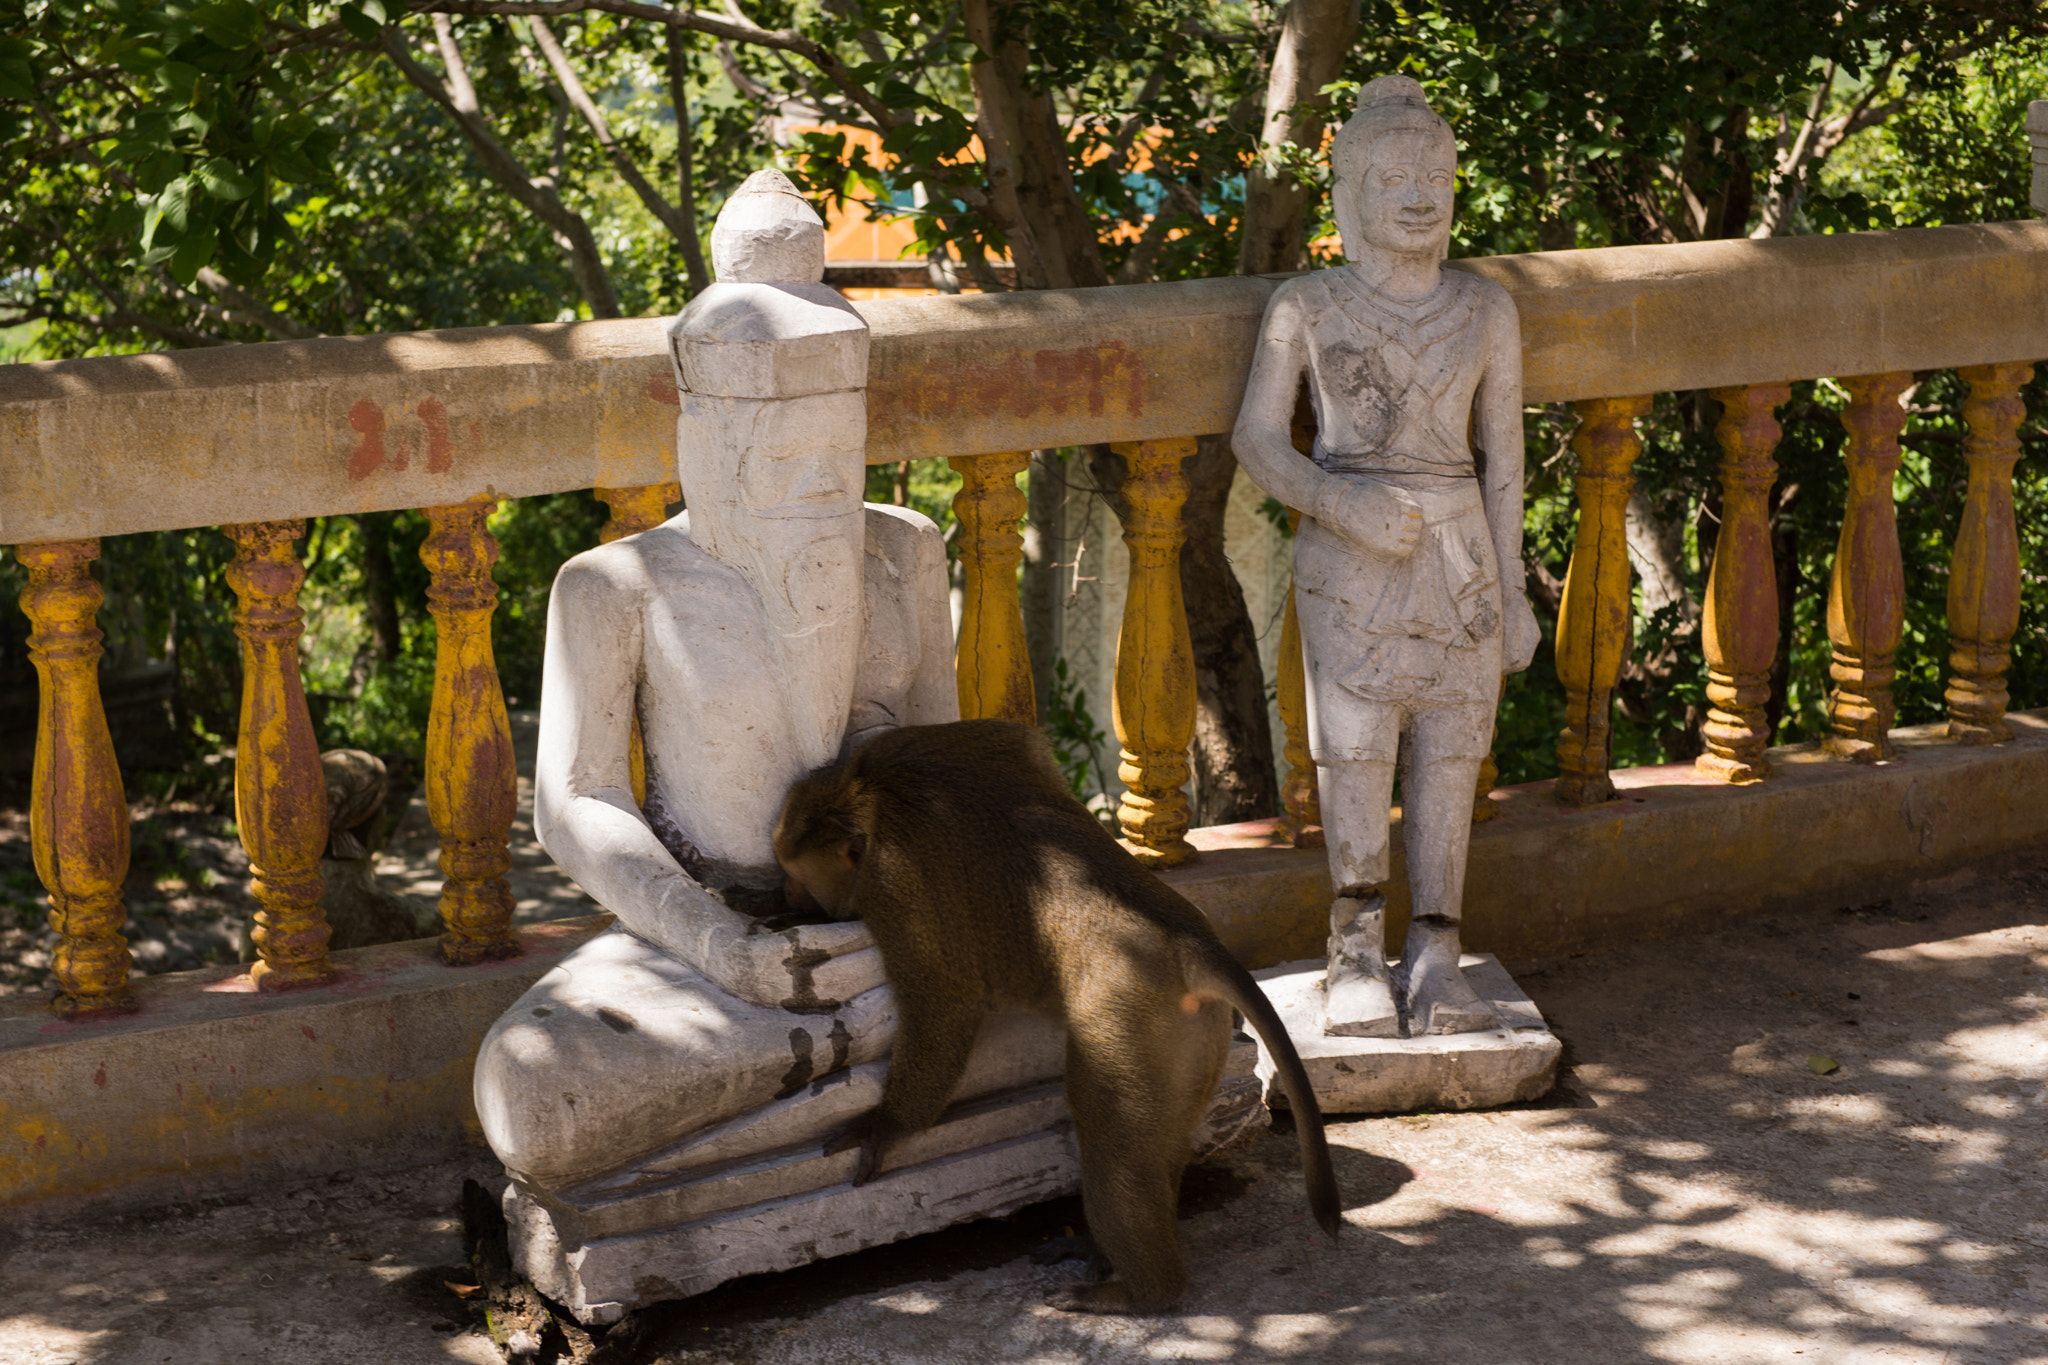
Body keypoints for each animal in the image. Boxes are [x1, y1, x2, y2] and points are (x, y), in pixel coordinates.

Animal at [770, 720, 1343, 1317]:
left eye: (798, 875)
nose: (784, 891)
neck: (869, 791)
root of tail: (1190, 942)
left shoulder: (891, 885)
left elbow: (946, 1001)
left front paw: (889, 1123)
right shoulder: (958, 740)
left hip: (1125, 1020)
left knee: (1111, 1142)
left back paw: (1141, 1291)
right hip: (1195, 1033)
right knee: (1153, 1143)